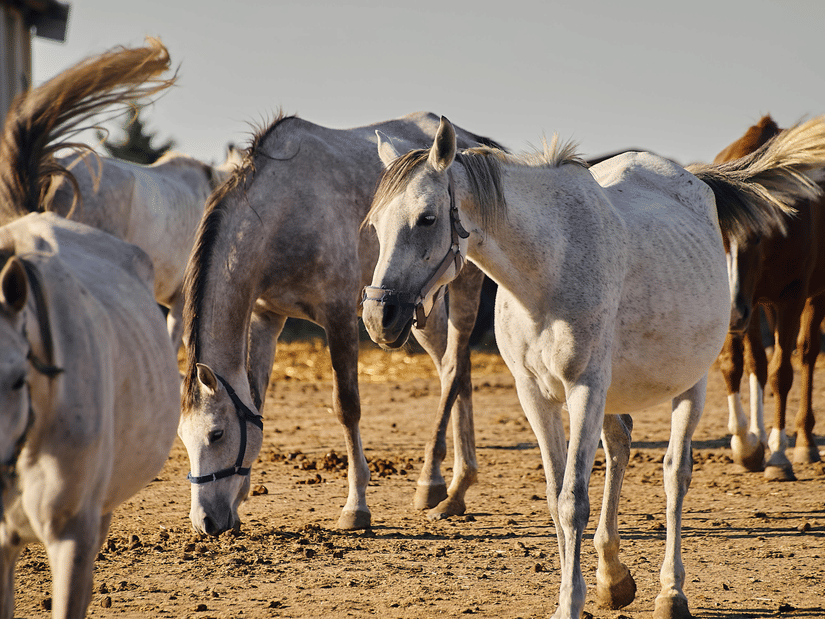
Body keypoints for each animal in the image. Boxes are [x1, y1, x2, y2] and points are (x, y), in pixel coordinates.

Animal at [178, 111, 505, 535]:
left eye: (216, 434)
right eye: (183, 438)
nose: (206, 521)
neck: (283, 210)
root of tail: (469, 138)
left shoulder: (340, 317)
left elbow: (347, 406)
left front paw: (356, 506)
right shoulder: (267, 317)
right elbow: (257, 397)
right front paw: (241, 496)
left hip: (461, 284)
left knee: (453, 367)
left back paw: (439, 482)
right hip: (418, 309)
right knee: (457, 368)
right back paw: (452, 484)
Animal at [716, 114, 825, 480]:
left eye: (756, 239)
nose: (730, 314)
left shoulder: (791, 297)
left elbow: (781, 372)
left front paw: (778, 456)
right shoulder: (750, 305)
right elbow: (743, 365)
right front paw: (747, 446)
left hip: (811, 297)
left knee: (806, 354)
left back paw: (805, 442)